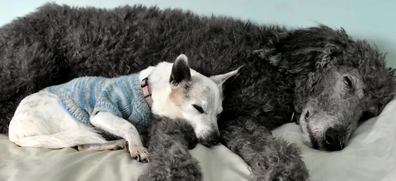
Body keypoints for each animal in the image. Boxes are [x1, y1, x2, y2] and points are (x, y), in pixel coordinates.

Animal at [7, 53, 240, 161]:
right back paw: (117, 142)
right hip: (77, 119)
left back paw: (115, 143)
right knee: (82, 144)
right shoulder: (101, 113)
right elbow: (129, 126)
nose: (215, 140)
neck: (147, 91)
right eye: (198, 108)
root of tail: (13, 132)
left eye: (219, 115)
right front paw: (137, 147)